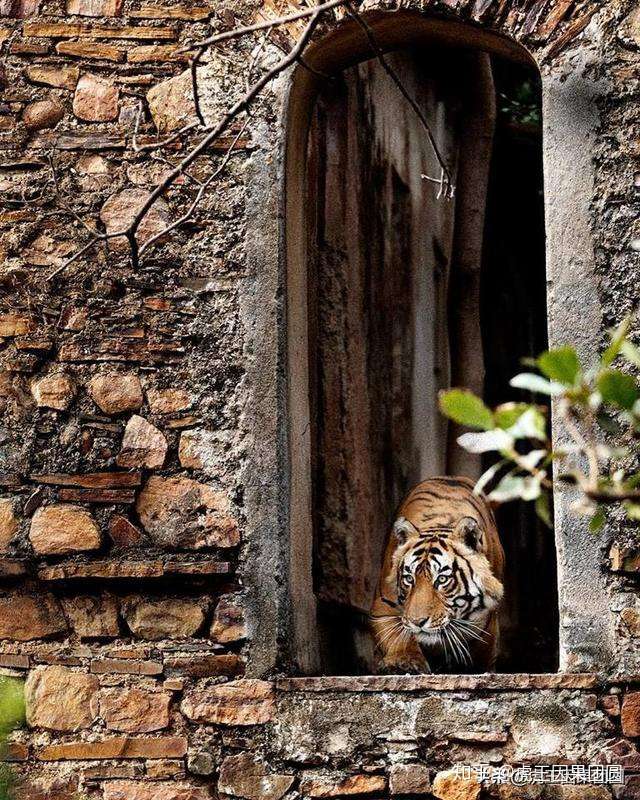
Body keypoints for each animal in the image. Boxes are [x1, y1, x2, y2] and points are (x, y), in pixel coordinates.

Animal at [370, 478, 504, 672]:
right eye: (409, 579)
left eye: (442, 579)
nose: (417, 622)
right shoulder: (383, 605)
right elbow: (398, 635)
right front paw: (405, 662)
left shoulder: (486, 622)